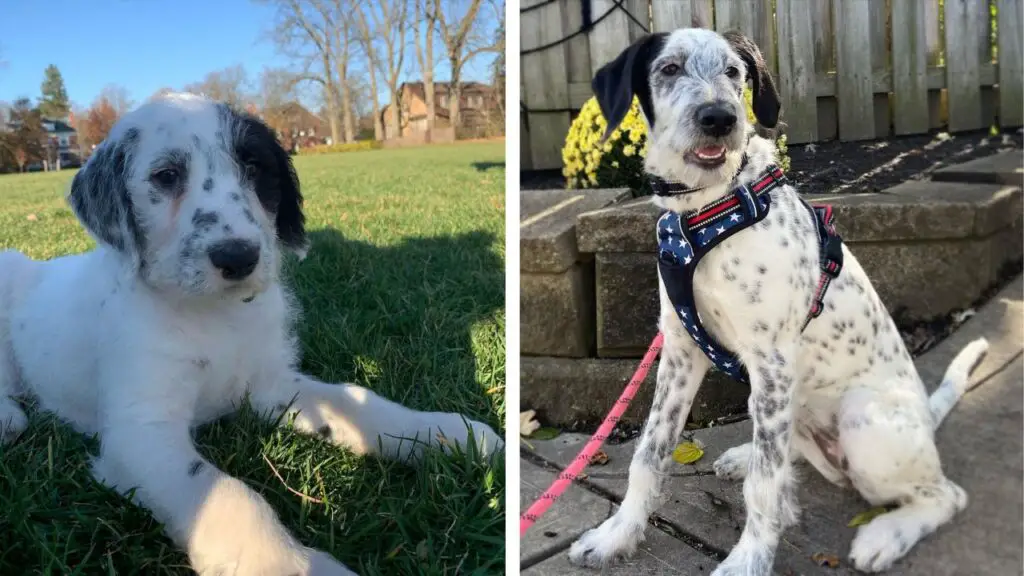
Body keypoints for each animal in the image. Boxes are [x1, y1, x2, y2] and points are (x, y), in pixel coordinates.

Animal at [0, 91, 503, 569]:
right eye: (166, 176)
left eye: (255, 167)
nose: (238, 256)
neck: (214, 315)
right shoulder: (139, 432)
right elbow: (227, 496)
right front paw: (291, 563)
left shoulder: (271, 386)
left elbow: (356, 401)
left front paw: (444, 433)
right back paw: (9, 418)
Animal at [569, 28, 991, 573]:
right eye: (669, 69)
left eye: (733, 72)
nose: (720, 118)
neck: (707, 211)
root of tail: (925, 416)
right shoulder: (681, 352)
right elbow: (648, 453)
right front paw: (618, 533)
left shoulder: (771, 362)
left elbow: (765, 488)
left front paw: (748, 559)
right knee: (785, 448)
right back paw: (745, 455)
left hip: (858, 418)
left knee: (946, 495)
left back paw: (886, 535)